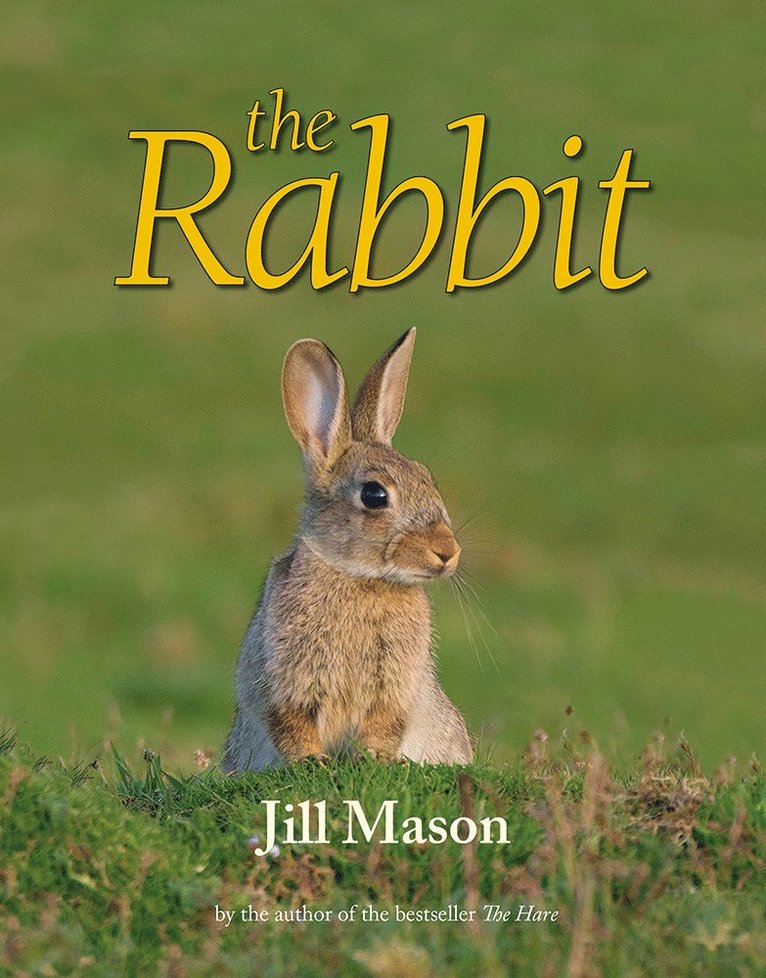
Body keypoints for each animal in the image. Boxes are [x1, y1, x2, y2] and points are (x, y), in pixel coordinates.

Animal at [222, 328, 473, 772]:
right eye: (374, 495)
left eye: (426, 479)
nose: (447, 552)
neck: (359, 577)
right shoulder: (280, 680)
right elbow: (290, 724)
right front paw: (312, 762)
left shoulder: (394, 687)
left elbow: (384, 723)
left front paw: (373, 759)